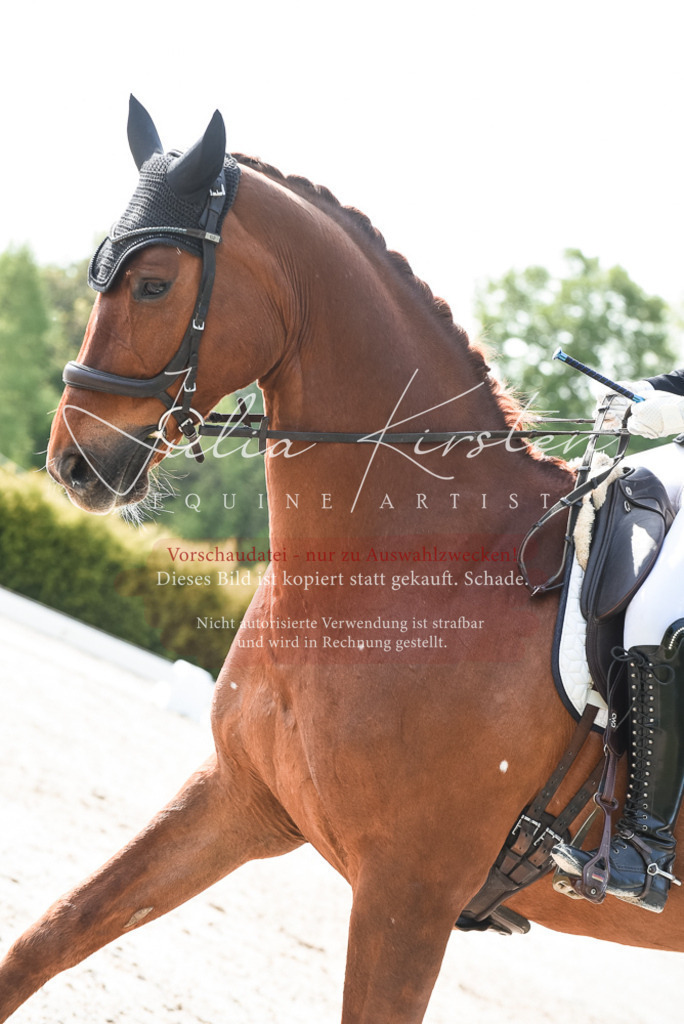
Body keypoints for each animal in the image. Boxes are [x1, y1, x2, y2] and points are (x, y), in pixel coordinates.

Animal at [2, 96, 683, 1022]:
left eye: (154, 283)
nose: (72, 463)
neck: (421, 565)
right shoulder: (238, 797)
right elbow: (51, 935)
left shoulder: (409, 892)